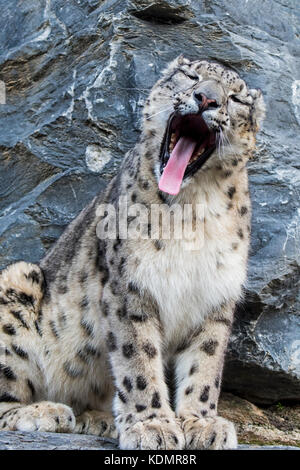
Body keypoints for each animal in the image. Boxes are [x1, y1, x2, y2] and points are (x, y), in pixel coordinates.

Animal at [0, 57, 264, 450]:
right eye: (192, 76)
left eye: (235, 98)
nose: (206, 99)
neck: (194, 205)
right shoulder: (130, 287)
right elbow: (138, 360)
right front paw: (152, 426)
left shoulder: (215, 295)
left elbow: (205, 365)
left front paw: (202, 423)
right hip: (16, 283)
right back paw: (47, 411)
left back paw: (96, 419)